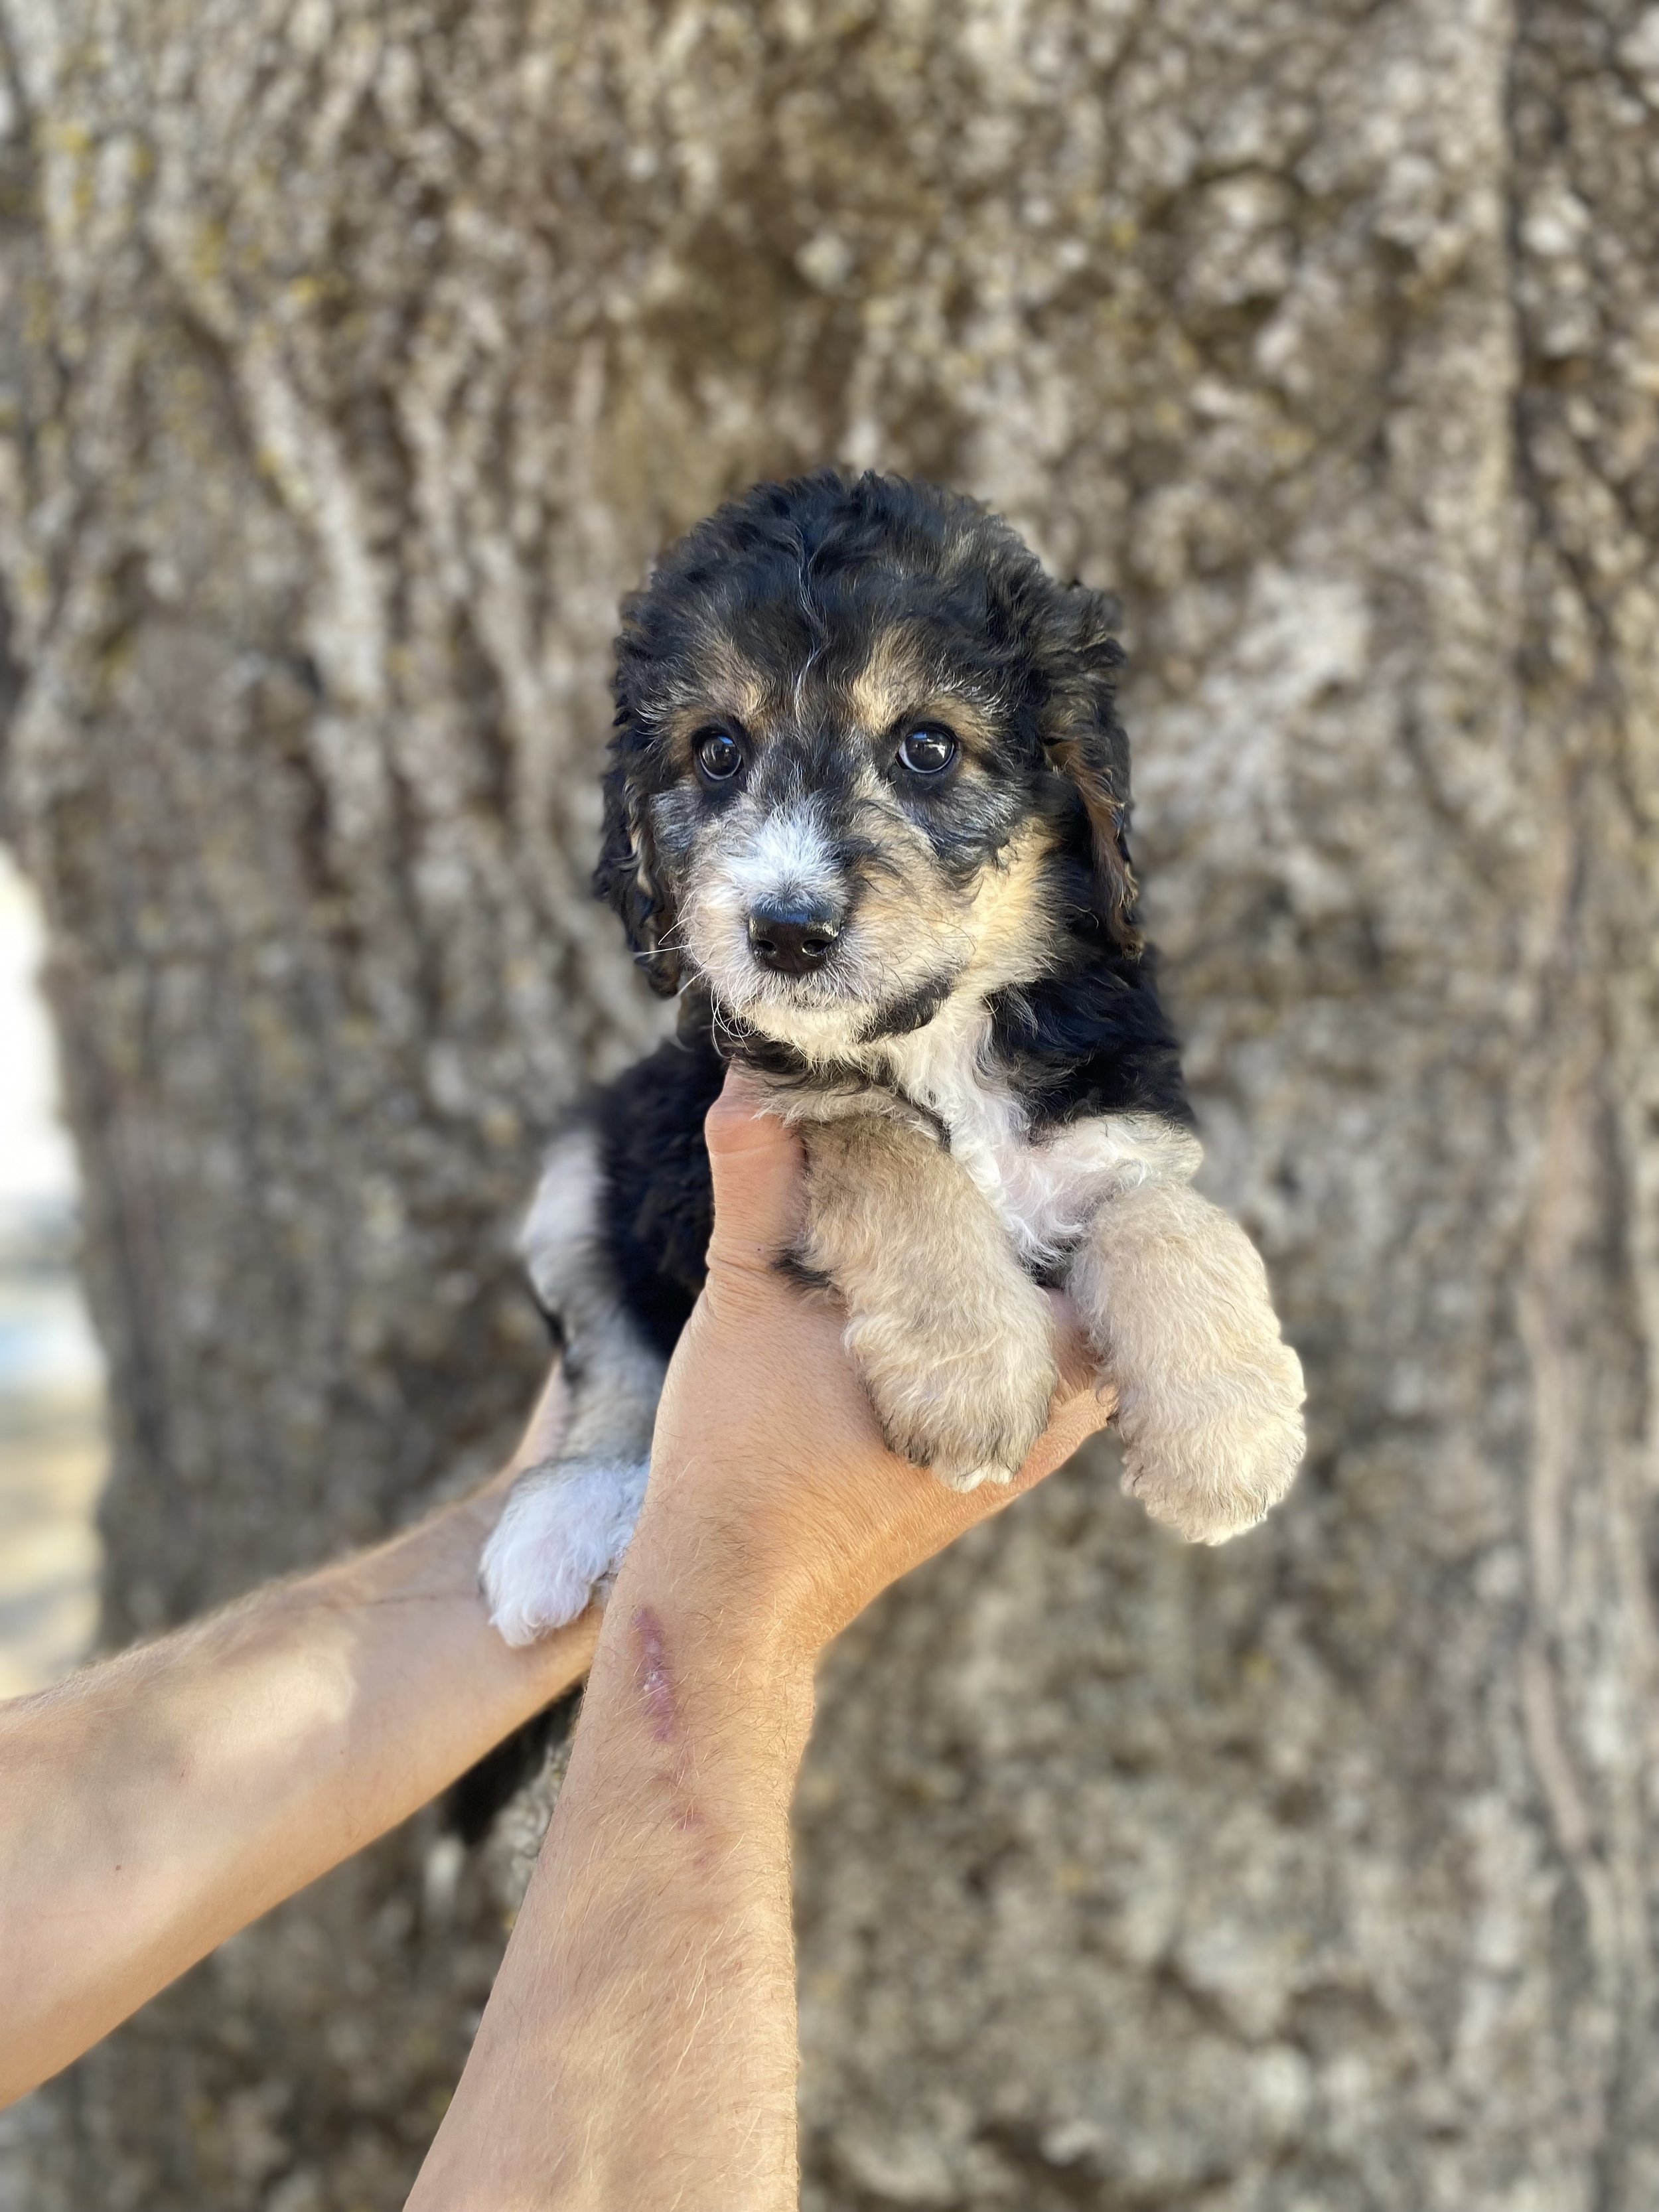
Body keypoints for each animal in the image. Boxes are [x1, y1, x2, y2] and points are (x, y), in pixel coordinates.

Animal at [484, 471, 1309, 1645]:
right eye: (718, 751)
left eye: (928, 746)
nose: (785, 932)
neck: (938, 1032)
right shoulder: (726, 1123)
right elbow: (875, 1141)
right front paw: (971, 1375)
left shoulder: (1114, 1124)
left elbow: (1173, 1219)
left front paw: (1229, 1436)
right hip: (590, 1154)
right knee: (611, 1347)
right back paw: (559, 1521)